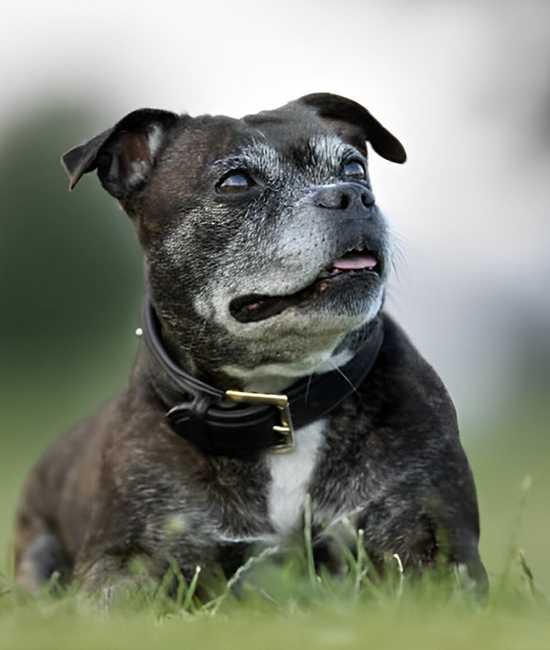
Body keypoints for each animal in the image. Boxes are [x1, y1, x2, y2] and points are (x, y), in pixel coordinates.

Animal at [12, 93, 490, 600]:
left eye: (355, 167)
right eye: (237, 182)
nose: (352, 195)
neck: (277, 398)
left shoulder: (430, 538)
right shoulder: (123, 556)